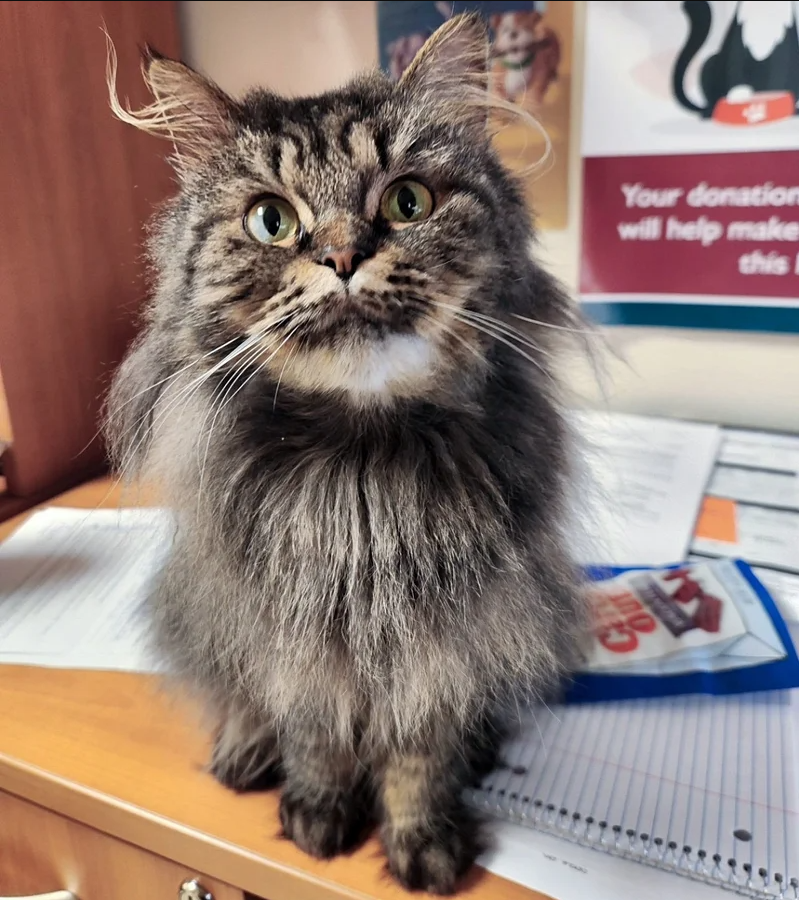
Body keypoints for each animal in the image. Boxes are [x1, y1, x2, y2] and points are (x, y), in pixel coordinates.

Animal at [104, 14, 588, 892]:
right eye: (271, 221)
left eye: (408, 201)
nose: (340, 258)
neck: (363, 471)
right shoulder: (290, 631)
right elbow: (315, 729)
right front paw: (319, 813)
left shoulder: (451, 637)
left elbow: (420, 749)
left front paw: (421, 840)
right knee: (240, 698)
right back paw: (244, 753)